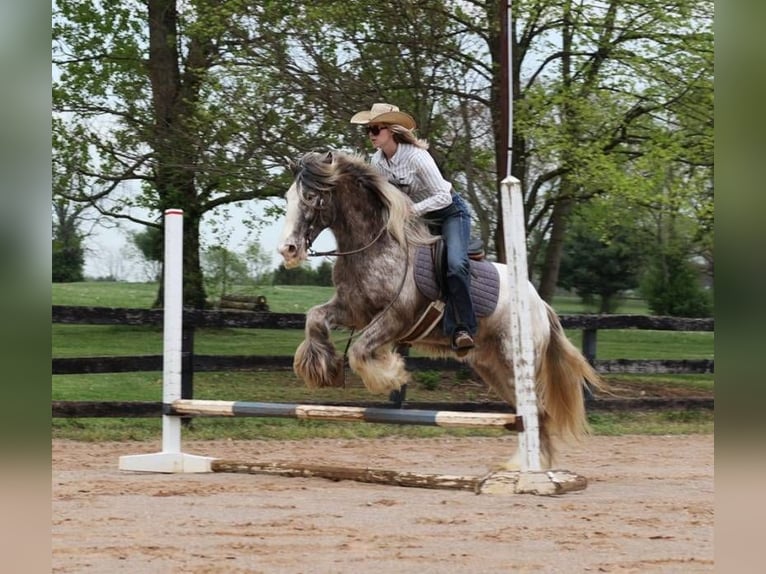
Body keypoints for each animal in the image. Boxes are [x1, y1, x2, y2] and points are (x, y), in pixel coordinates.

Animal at [278, 151, 608, 470]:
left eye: (311, 197)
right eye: (288, 196)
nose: (288, 250)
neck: (375, 247)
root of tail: (540, 305)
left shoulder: (395, 318)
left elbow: (360, 351)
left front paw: (390, 375)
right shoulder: (353, 310)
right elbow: (315, 318)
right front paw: (322, 368)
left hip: (515, 362)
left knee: (536, 412)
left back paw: (535, 470)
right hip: (492, 368)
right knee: (529, 414)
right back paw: (524, 465)